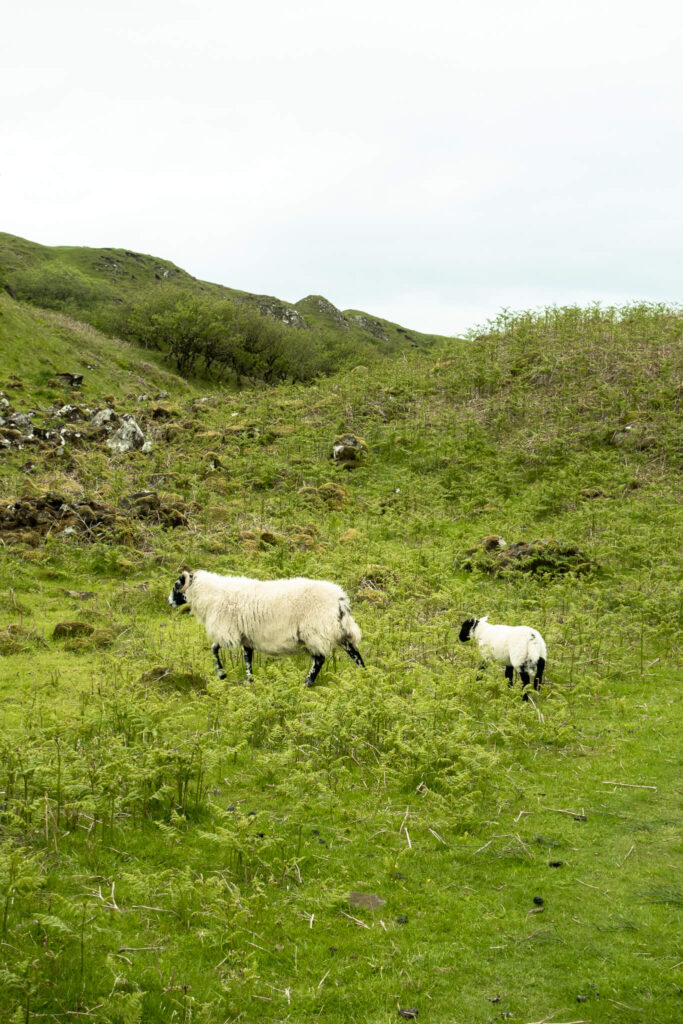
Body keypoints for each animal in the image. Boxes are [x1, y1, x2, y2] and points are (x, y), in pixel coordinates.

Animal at [167, 569, 366, 688]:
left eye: (177, 585)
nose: (169, 602)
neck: (210, 595)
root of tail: (341, 599)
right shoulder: (246, 637)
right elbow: (247, 659)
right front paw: (249, 681)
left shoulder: (228, 633)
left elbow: (214, 649)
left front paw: (221, 674)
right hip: (339, 631)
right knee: (355, 653)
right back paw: (364, 676)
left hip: (317, 631)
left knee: (319, 659)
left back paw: (307, 683)